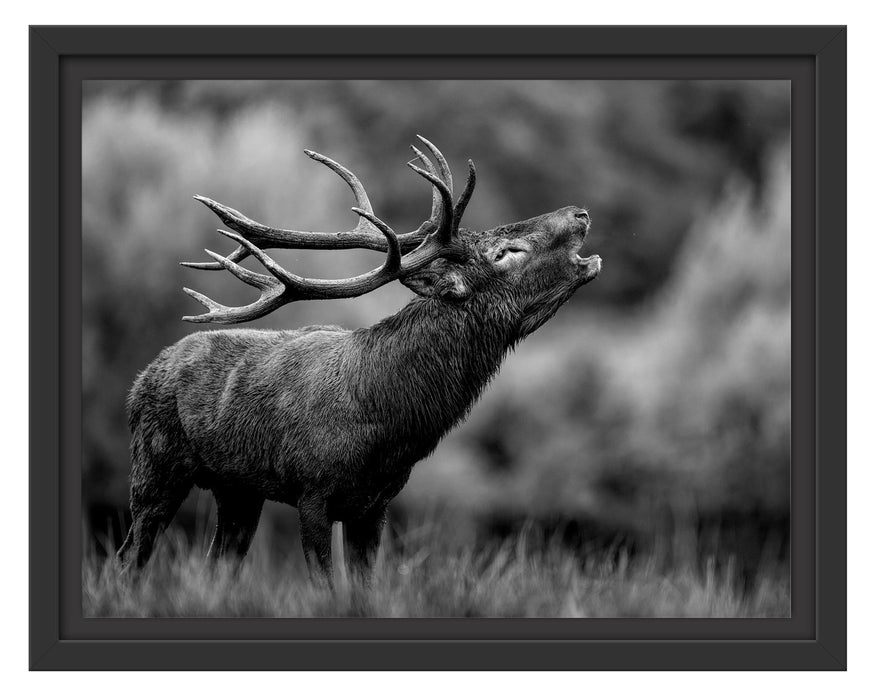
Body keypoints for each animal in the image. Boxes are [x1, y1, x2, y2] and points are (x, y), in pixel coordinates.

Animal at [118, 137, 602, 583]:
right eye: (506, 252)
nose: (580, 213)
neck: (388, 425)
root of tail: (140, 380)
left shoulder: (375, 503)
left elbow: (365, 587)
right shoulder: (311, 491)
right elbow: (324, 584)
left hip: (237, 490)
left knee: (217, 563)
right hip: (154, 466)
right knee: (130, 555)